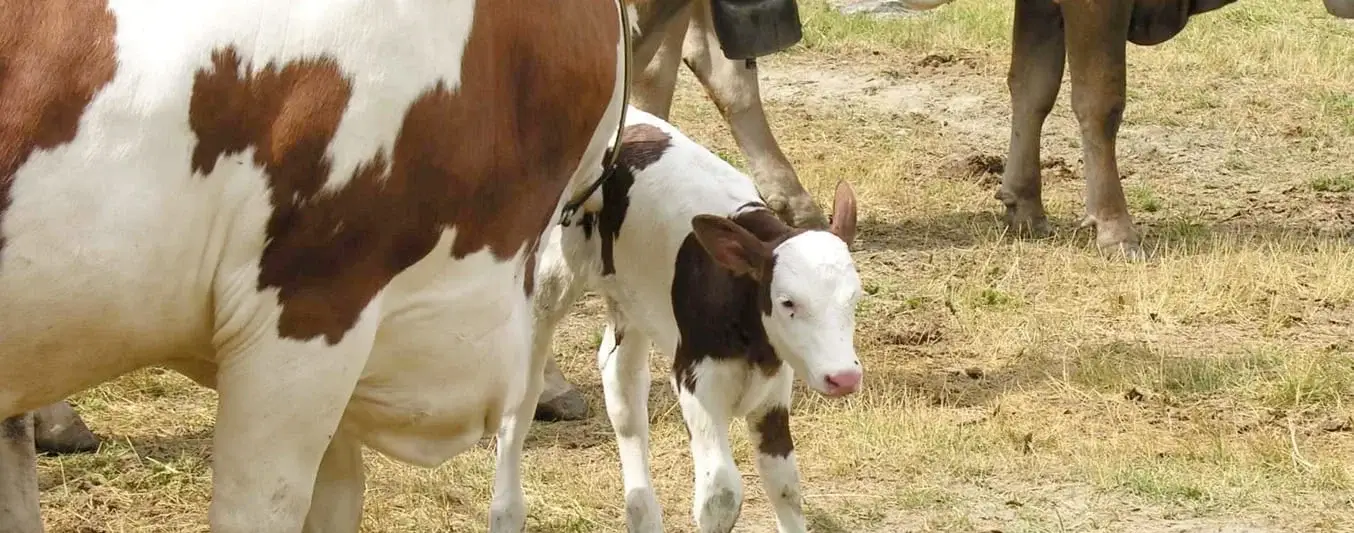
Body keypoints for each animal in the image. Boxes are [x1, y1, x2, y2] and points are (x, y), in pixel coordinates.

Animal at [492, 104, 861, 533]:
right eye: (788, 302)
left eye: (854, 297)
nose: (844, 377)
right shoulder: (695, 378)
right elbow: (720, 493)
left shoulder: (774, 388)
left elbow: (785, 485)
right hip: (547, 283)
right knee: (520, 400)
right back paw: (506, 511)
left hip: (632, 297)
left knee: (623, 386)